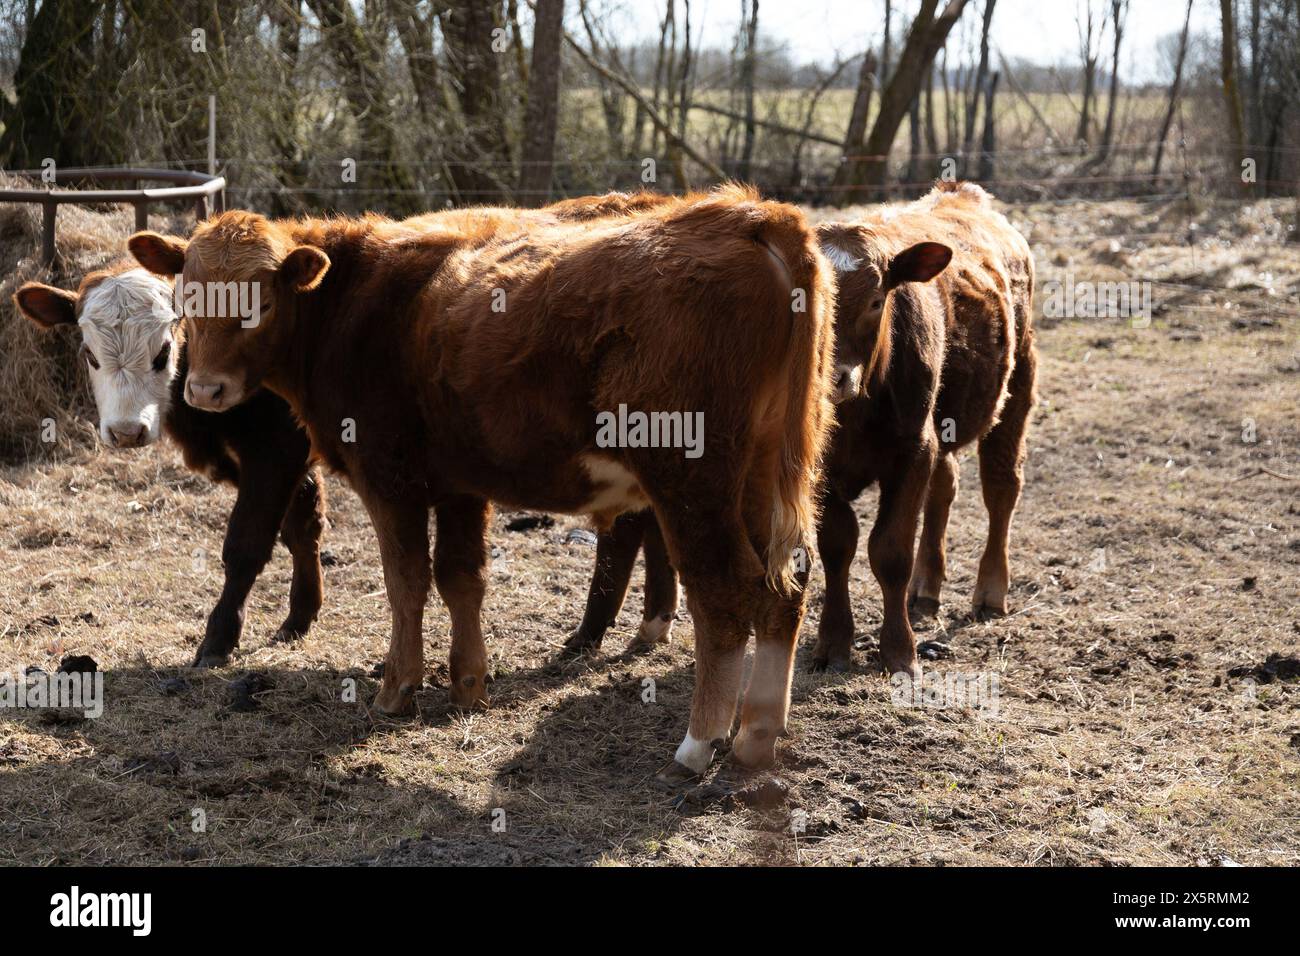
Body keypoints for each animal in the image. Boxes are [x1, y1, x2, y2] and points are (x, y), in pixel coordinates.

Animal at [13, 265, 327, 667]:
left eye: (163, 352)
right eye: (90, 355)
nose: (127, 432)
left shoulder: (276, 448)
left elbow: (246, 544)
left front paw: (219, 637)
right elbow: (302, 527)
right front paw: (299, 617)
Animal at [127, 185, 837, 777]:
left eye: (262, 302)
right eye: (187, 297)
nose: (205, 390)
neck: (355, 303)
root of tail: (748, 215)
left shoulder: (390, 478)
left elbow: (407, 580)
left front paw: (398, 687)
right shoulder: (460, 484)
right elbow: (461, 577)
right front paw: (468, 684)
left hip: (692, 481)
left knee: (725, 594)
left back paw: (699, 743)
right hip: (760, 480)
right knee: (786, 589)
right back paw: (756, 736)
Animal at [567, 182, 1037, 680]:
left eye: (876, 300)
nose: (833, 377)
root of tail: (961, 194)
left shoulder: (913, 450)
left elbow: (890, 552)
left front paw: (899, 652)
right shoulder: (818, 469)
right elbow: (838, 545)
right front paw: (834, 642)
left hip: (1019, 383)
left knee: (1001, 488)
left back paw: (991, 591)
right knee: (946, 487)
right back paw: (926, 590)